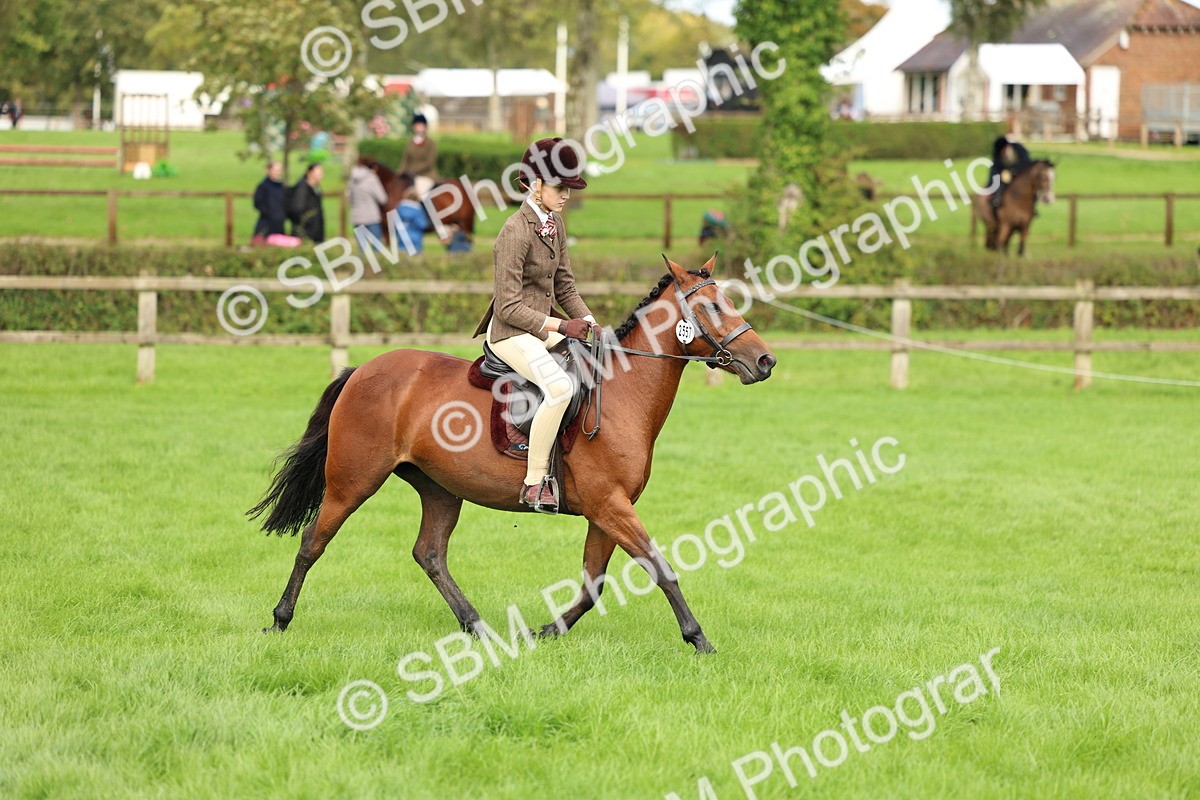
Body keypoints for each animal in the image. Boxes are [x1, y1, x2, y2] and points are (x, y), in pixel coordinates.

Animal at [248, 255, 778, 653]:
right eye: (713, 306)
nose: (765, 361)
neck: (621, 390)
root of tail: (362, 370)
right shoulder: (611, 505)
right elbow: (660, 568)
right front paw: (699, 639)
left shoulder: (607, 510)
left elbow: (592, 583)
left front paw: (543, 631)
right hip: (353, 481)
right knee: (313, 541)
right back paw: (280, 619)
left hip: (439, 488)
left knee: (430, 554)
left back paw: (479, 628)